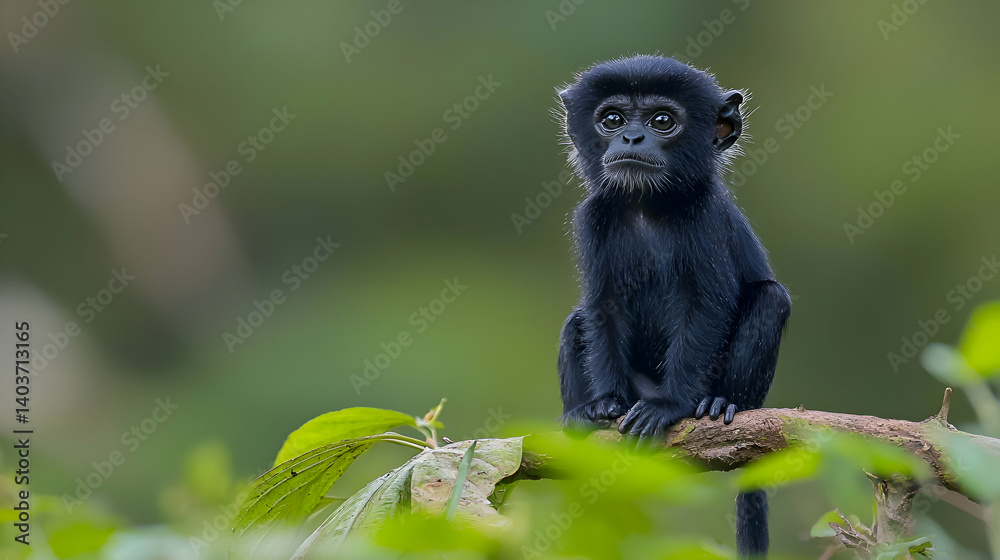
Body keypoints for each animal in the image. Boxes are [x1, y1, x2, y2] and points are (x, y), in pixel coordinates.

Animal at [555, 55, 791, 559]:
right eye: (612, 119)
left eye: (662, 121)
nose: (631, 138)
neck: (647, 206)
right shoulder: (592, 220)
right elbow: (600, 309)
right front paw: (603, 405)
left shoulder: (706, 218)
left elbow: (706, 306)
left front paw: (669, 407)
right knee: (574, 322)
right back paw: (582, 415)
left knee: (771, 298)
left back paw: (720, 403)